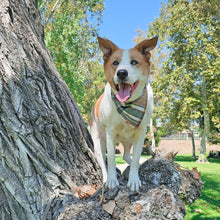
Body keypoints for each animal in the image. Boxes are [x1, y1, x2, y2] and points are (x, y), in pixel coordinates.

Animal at [89, 36, 158, 191]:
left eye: (134, 62)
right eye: (115, 62)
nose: (121, 73)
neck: (128, 104)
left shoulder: (141, 132)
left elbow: (136, 157)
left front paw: (134, 179)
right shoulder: (110, 132)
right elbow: (112, 160)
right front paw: (112, 180)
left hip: (129, 139)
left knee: (127, 155)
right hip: (98, 141)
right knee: (103, 161)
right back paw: (106, 178)